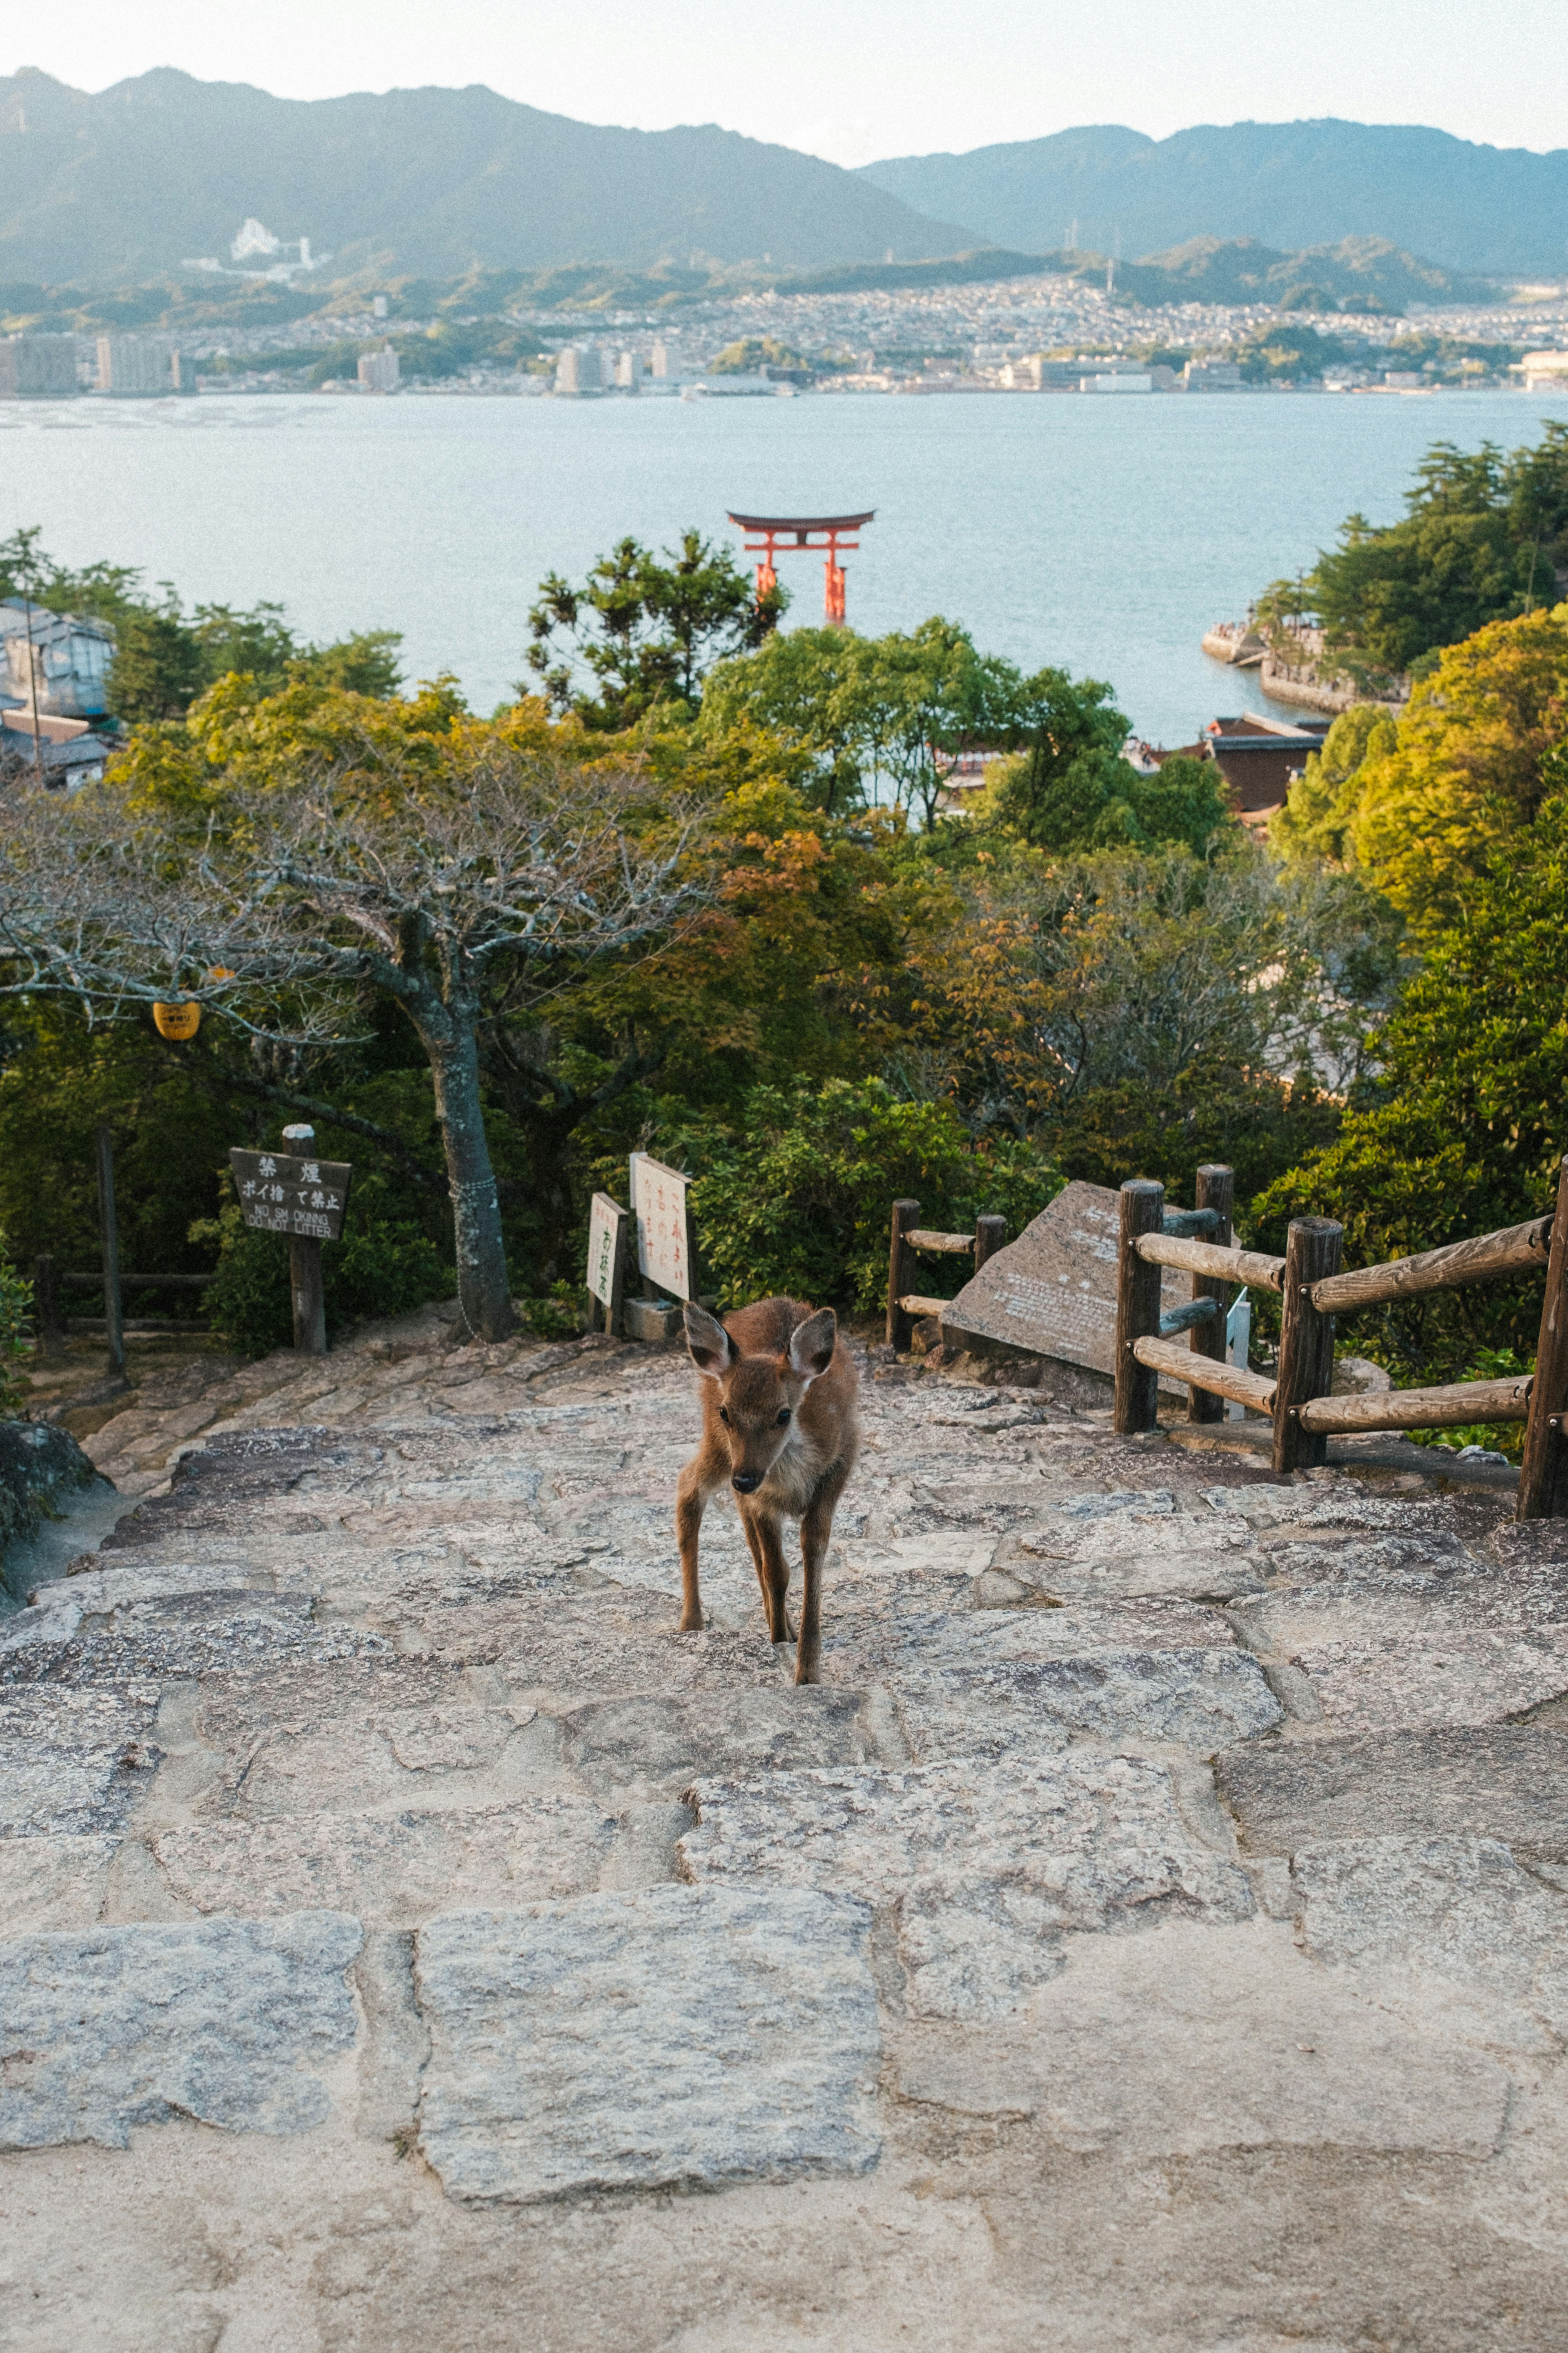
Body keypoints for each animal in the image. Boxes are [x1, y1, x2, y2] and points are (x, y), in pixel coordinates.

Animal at [677, 1299, 865, 1684]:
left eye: (783, 1414)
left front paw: (807, 1669)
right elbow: (777, 1570)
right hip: (720, 1449)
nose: (746, 1478)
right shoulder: (761, 1501)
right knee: (688, 1486)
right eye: (726, 1411)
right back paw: (692, 1620)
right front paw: (780, 1638)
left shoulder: (843, 1459)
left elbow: (813, 1544)